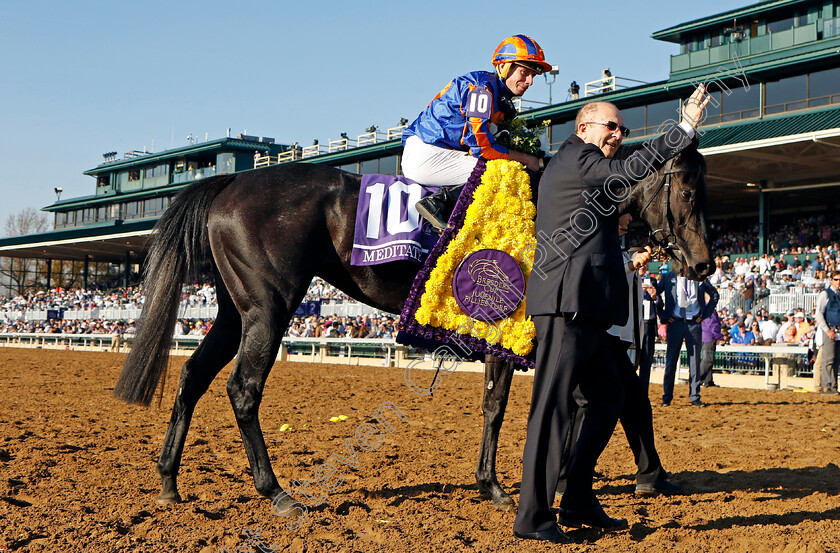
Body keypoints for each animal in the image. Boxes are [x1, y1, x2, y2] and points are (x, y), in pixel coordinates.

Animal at [113, 148, 708, 512]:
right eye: (689, 192)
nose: (703, 265)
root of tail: (231, 181)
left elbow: (621, 394)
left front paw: (647, 474)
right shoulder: (517, 330)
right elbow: (498, 406)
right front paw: (495, 485)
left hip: (235, 311)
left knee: (193, 375)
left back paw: (168, 480)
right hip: (269, 307)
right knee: (242, 388)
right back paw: (276, 490)